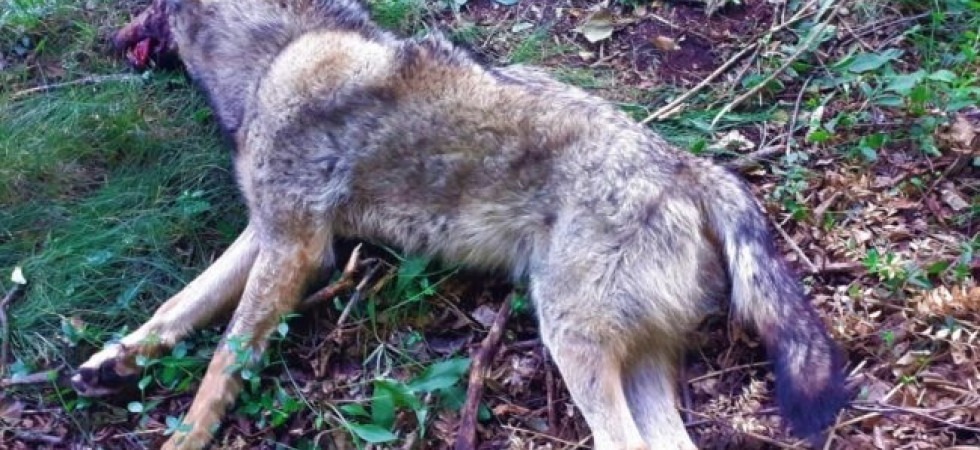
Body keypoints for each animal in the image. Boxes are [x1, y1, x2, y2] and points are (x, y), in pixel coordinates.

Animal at [71, 0, 850, 448]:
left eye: (144, 6)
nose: (106, 40)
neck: (282, 50)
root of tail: (688, 167)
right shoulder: (269, 233)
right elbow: (179, 306)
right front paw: (113, 363)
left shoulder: (297, 247)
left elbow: (221, 362)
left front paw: (183, 437)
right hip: (630, 361)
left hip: (571, 342)